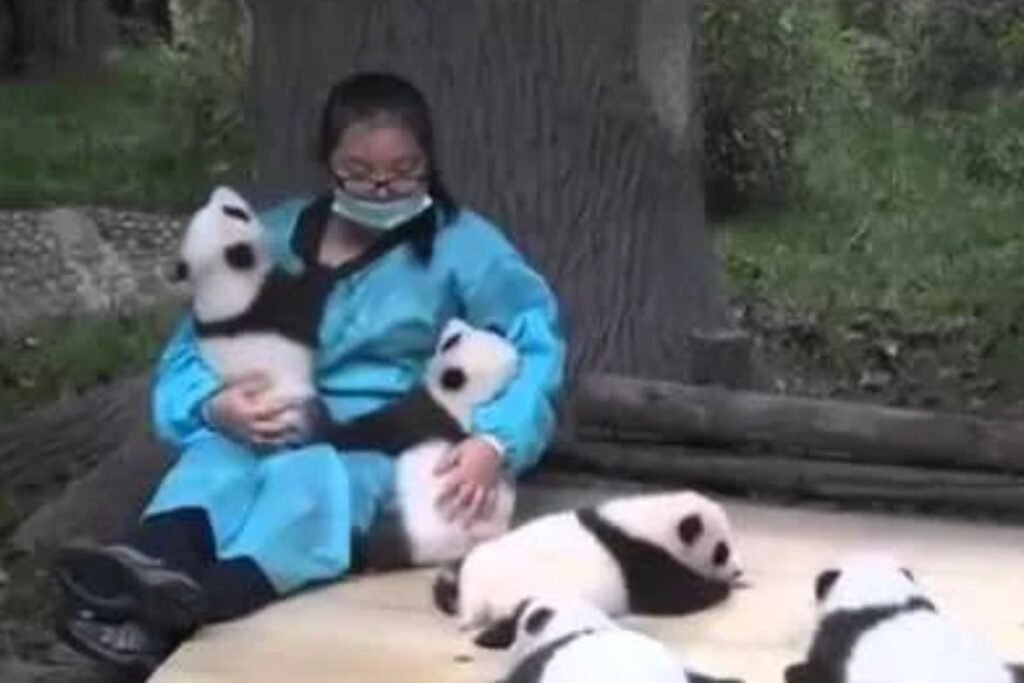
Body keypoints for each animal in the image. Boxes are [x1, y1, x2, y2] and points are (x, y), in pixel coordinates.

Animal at [432, 489, 747, 630]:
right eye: (721, 551)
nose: (737, 571)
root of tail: (476, 599)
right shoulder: (638, 557)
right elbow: (671, 594)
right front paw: (718, 589)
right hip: (536, 592)